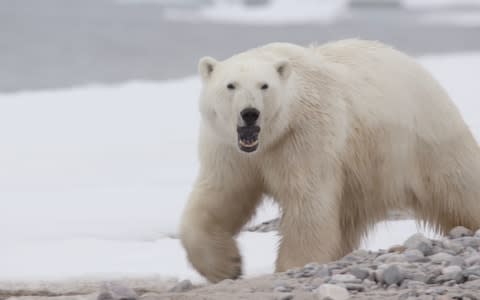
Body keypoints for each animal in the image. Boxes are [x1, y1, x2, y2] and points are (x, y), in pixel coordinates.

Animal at [179, 39, 480, 284]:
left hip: (424, 137)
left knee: (458, 185)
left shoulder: (304, 137)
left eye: (264, 85)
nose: (250, 113)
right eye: (230, 85)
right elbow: (220, 195)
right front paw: (226, 266)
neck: (271, 138)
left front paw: (293, 266)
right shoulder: (228, 149)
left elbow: (308, 203)